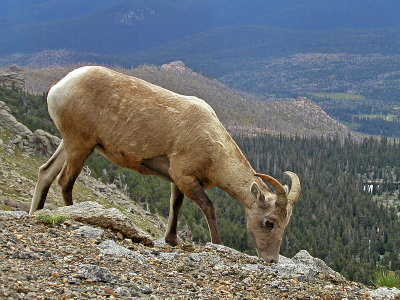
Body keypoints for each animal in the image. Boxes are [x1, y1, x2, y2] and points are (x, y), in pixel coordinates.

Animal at [30, 65, 300, 262]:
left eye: (285, 224)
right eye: (269, 222)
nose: (271, 259)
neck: (212, 143)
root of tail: (58, 88)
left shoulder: (177, 180)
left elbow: (175, 205)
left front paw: (173, 240)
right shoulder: (185, 176)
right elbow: (209, 207)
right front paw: (218, 244)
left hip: (69, 142)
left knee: (46, 172)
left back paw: (36, 212)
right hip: (80, 143)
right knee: (65, 180)